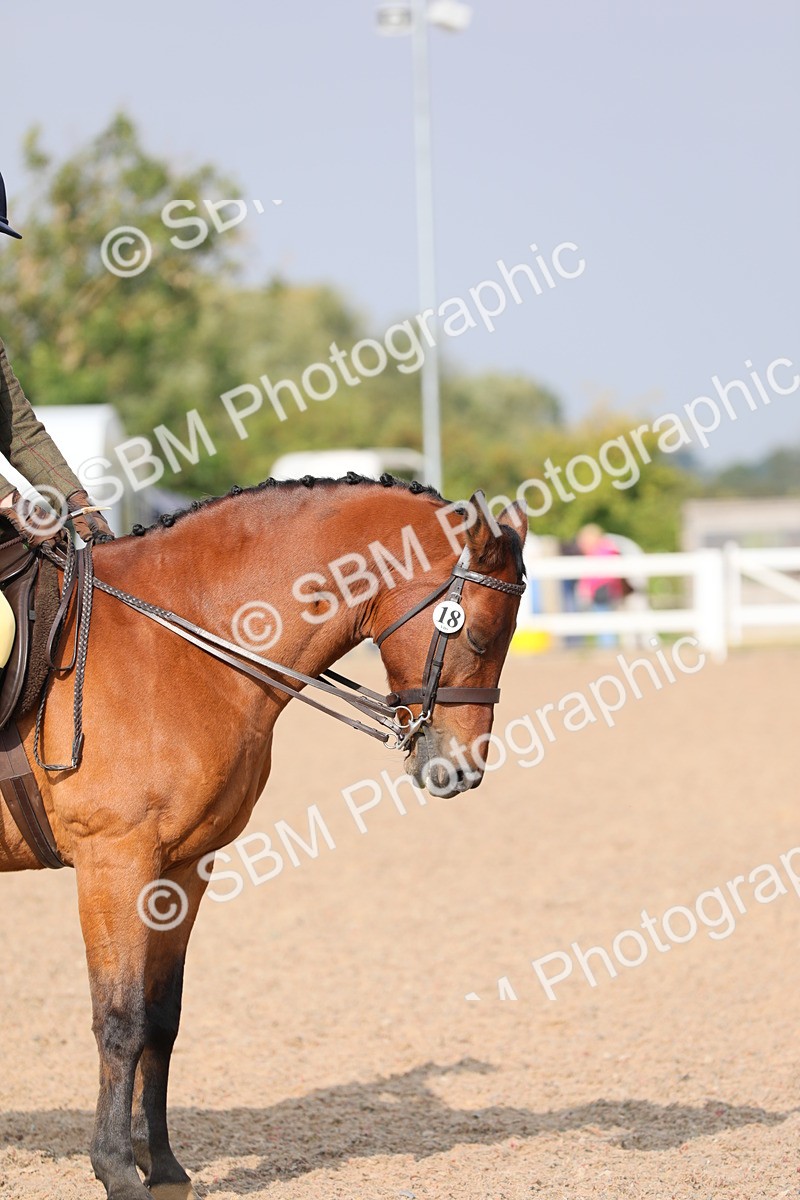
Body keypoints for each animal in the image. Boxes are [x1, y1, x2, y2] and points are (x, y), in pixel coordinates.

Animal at [0, 475, 526, 1200]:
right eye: (477, 635)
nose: (462, 770)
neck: (178, 643)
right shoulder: (115, 862)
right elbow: (119, 1019)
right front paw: (116, 1170)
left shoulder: (184, 867)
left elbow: (160, 1019)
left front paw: (163, 1168)